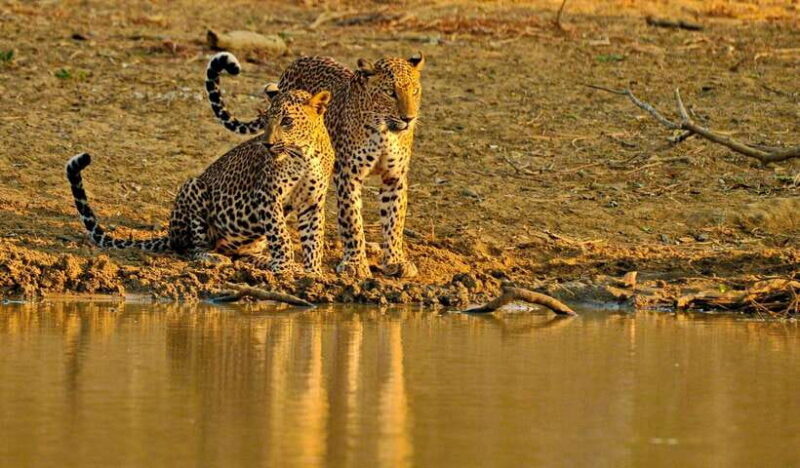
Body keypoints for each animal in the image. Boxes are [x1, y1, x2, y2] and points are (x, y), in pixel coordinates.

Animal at [65, 88, 334, 275]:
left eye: (287, 121)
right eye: (265, 120)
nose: (267, 144)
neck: (304, 153)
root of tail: (170, 233)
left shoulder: (312, 203)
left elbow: (314, 239)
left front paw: (313, 272)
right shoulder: (267, 197)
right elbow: (281, 235)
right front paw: (284, 266)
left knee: (240, 254)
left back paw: (262, 260)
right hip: (193, 189)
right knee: (191, 248)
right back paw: (213, 257)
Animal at [205, 51, 424, 279]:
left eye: (415, 91)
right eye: (390, 93)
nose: (409, 118)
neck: (385, 133)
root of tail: (299, 60)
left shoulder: (395, 177)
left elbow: (394, 220)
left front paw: (396, 261)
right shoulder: (348, 176)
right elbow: (352, 220)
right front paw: (355, 264)